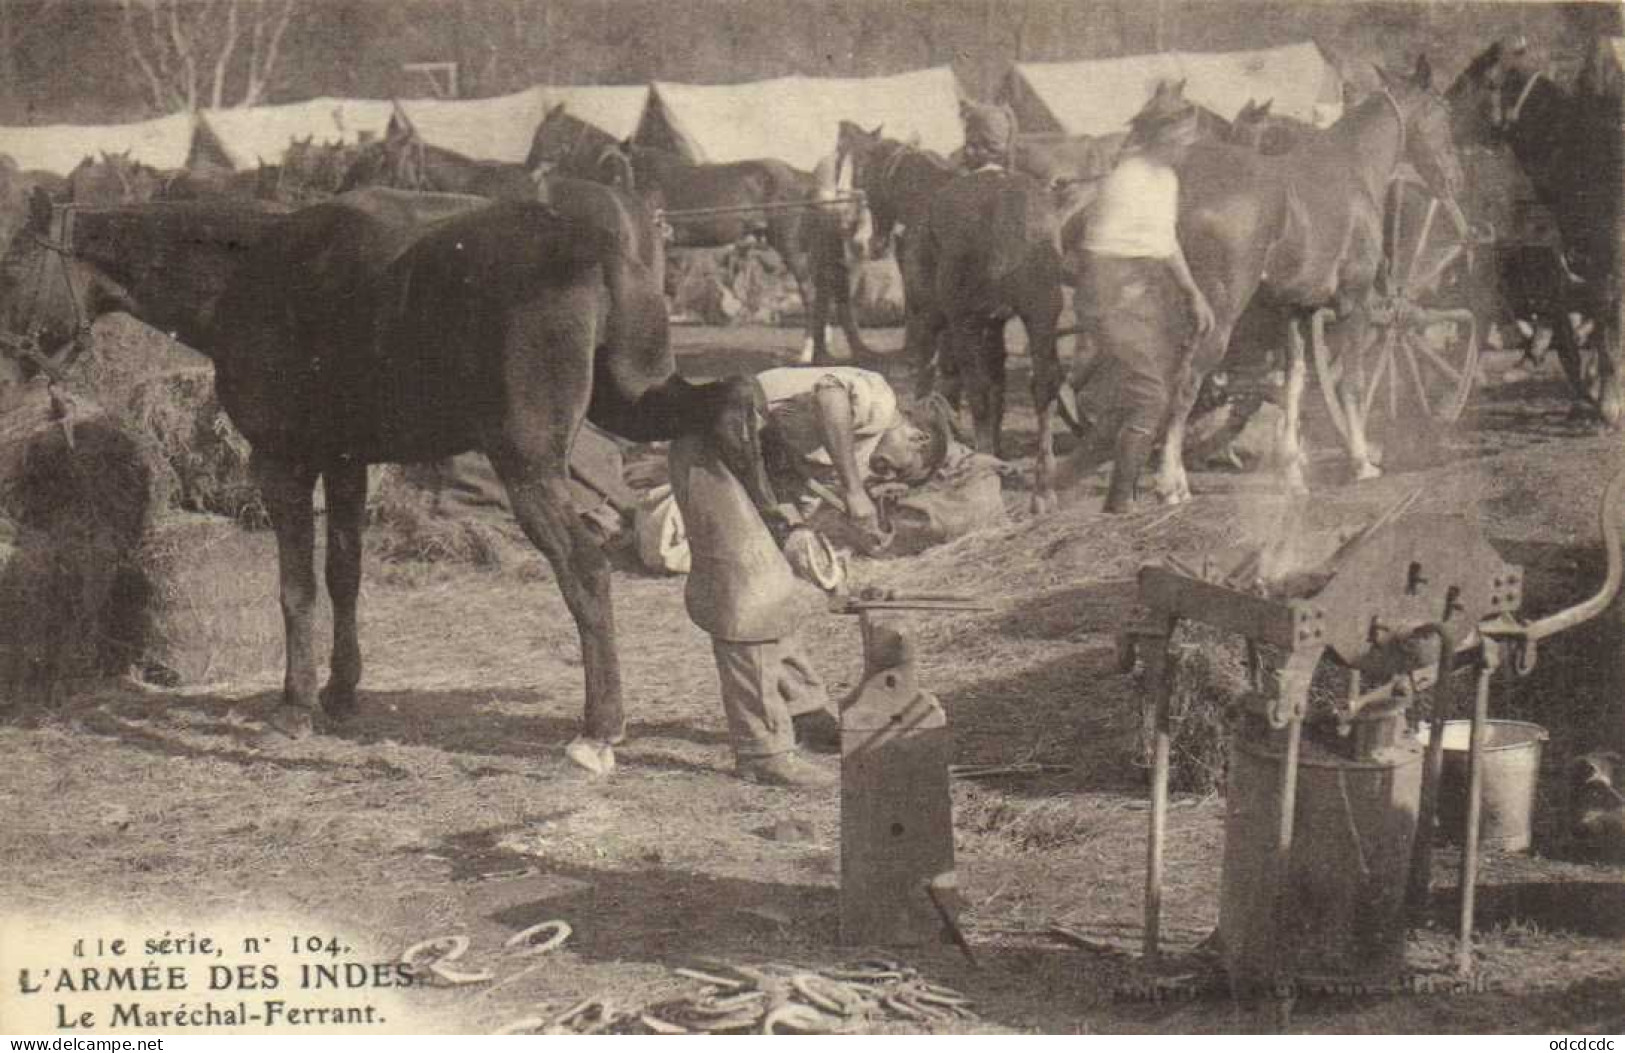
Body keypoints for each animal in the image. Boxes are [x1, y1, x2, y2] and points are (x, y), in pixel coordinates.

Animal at [0, 186, 776, 773]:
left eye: (11, 268)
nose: (10, 374)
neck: (252, 276)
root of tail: (598, 246)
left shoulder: (283, 461)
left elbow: (296, 588)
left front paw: (294, 704)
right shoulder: (346, 462)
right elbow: (343, 575)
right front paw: (341, 690)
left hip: (529, 467)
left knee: (585, 570)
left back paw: (599, 727)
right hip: (636, 399)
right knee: (731, 402)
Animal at [1111, 60, 1469, 507]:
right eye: (1445, 112)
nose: (1455, 180)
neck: (1353, 165)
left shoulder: (1296, 310)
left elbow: (1294, 384)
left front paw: (1293, 474)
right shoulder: (1356, 304)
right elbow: (1351, 383)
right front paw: (1361, 461)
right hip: (1219, 315)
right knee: (1188, 379)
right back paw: (1170, 482)